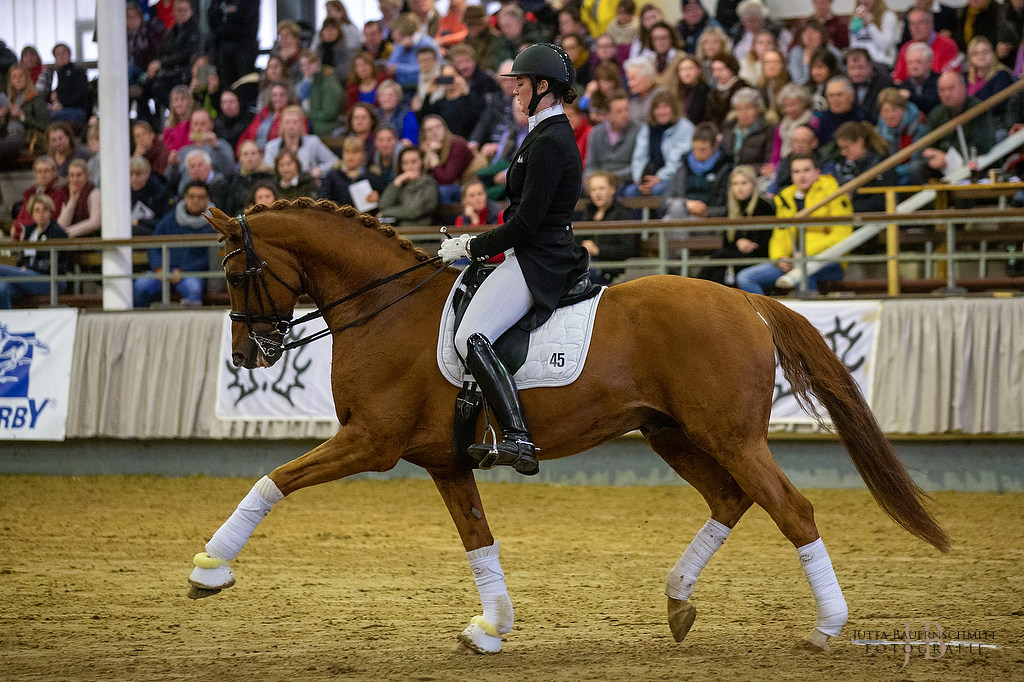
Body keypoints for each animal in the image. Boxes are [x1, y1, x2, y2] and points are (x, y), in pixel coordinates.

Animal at [192, 199, 950, 651]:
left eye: (236, 273)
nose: (246, 355)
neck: (386, 308)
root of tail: (743, 300)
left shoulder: (370, 442)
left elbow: (273, 479)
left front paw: (210, 569)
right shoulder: (445, 460)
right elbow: (477, 539)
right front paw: (491, 627)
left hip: (731, 437)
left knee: (792, 509)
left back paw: (826, 627)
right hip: (672, 434)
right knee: (731, 499)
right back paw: (678, 601)